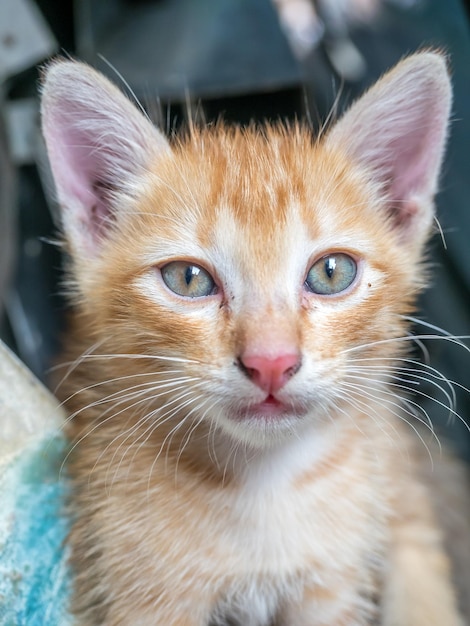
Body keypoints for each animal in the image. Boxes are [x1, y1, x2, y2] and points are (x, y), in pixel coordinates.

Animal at [42, 51, 468, 620]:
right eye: (188, 279)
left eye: (331, 272)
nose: (271, 362)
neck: (264, 487)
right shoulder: (138, 589)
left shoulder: (332, 581)